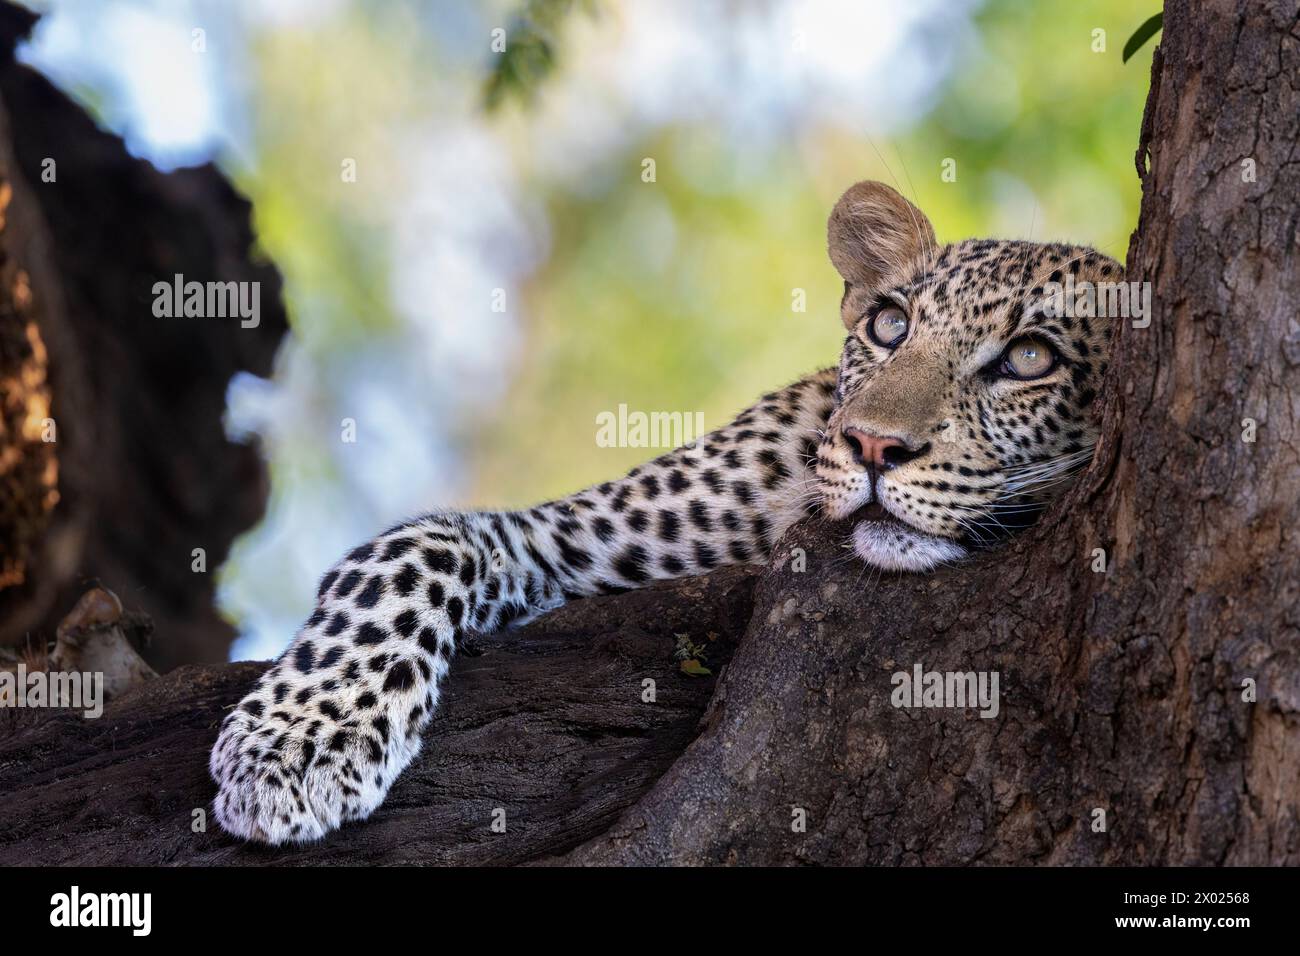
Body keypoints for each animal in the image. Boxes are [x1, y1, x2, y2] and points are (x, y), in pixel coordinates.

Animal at [210, 180, 1119, 844]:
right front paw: (295, 743)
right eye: (889, 326)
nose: (869, 444)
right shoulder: (567, 540)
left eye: (1028, 359)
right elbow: (416, 543)